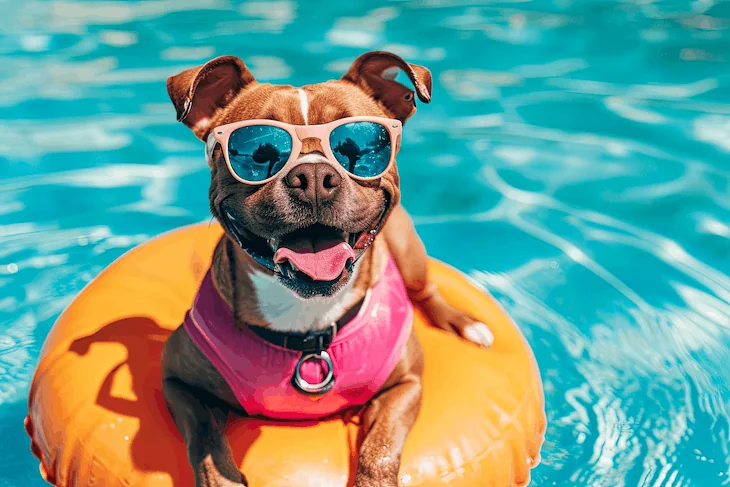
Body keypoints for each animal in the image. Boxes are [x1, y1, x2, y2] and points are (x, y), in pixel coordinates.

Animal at [161, 51, 492, 486]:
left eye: (361, 145)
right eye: (258, 151)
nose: (315, 176)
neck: (308, 320)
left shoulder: (406, 386)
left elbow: (380, 449)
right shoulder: (176, 381)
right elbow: (205, 438)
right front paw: (222, 475)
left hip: (409, 251)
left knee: (426, 290)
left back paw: (465, 324)